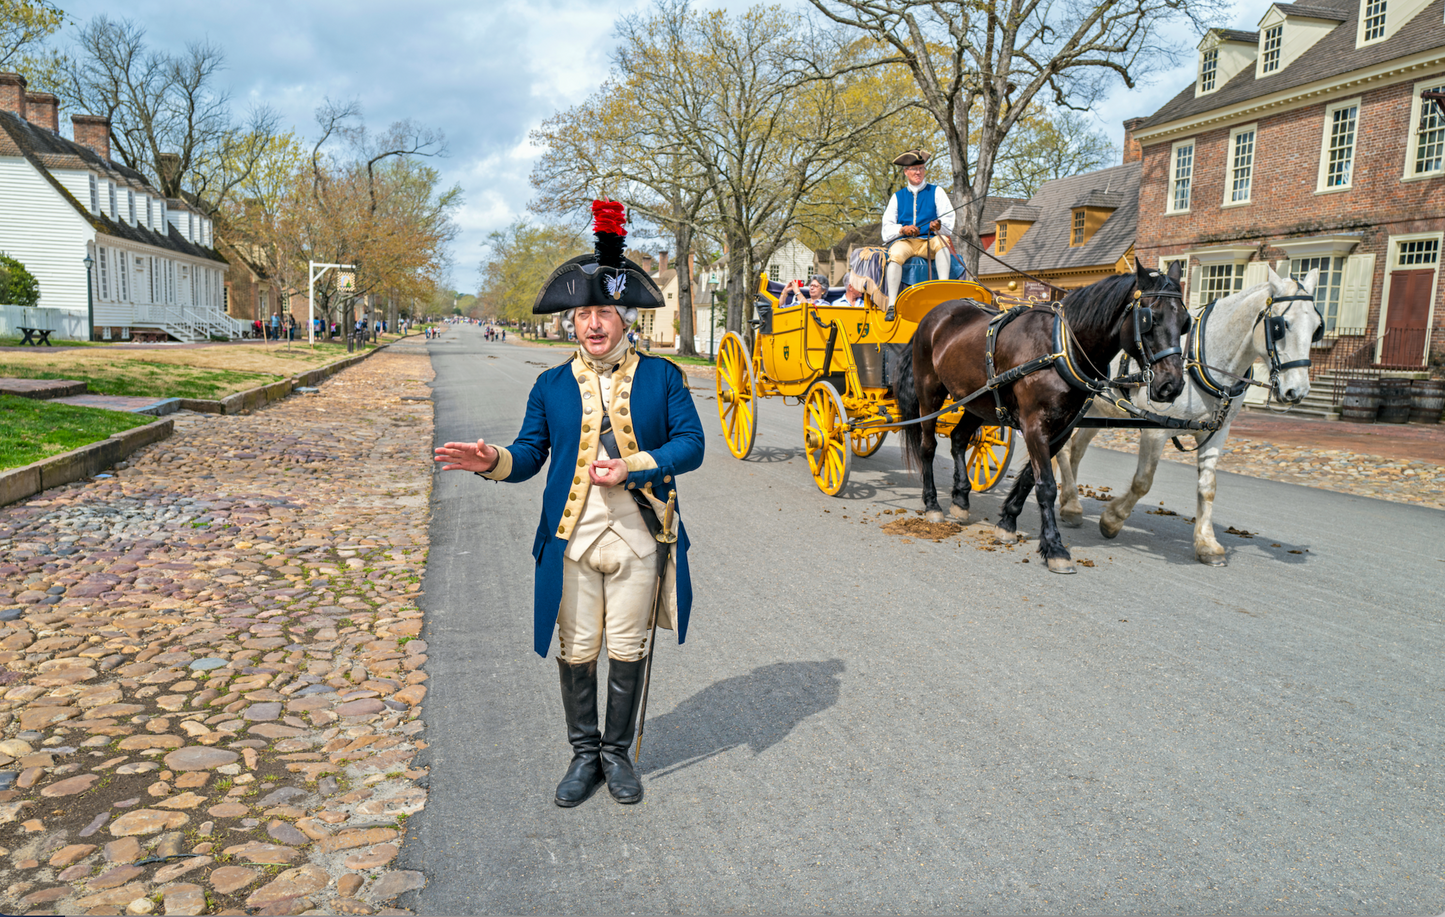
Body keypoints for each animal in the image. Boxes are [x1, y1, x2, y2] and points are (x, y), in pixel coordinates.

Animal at [895, 259, 1190, 574]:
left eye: (1185, 321)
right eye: (1150, 318)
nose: (1172, 385)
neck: (1061, 348)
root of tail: (935, 314)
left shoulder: (1063, 427)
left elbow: (1028, 479)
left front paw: (1007, 522)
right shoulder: (1035, 425)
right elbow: (1046, 486)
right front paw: (1055, 548)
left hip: (977, 401)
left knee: (959, 439)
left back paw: (961, 499)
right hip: (930, 393)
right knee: (928, 446)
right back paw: (932, 505)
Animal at [1051, 267, 1323, 566]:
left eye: (1317, 328)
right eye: (1281, 325)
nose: (1297, 391)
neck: (1202, 360)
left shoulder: (1217, 432)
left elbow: (1208, 486)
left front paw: (1207, 544)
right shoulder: (1156, 430)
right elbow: (1143, 481)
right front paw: (1112, 520)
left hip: (1098, 408)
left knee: (1076, 449)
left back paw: (1069, 503)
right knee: (1064, 449)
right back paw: (1072, 503)